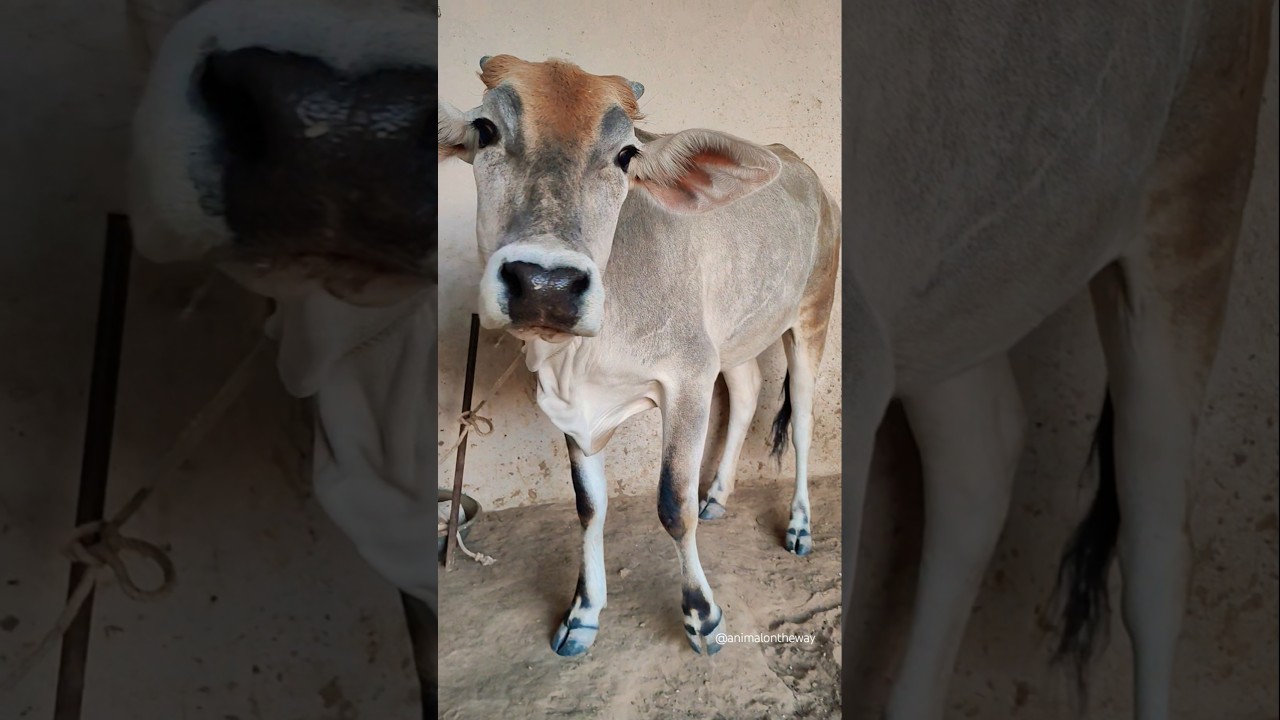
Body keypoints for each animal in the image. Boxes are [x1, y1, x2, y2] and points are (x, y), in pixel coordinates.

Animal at [437, 54, 841, 657]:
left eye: (626, 155)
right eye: (485, 129)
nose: (546, 285)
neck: (577, 359)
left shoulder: (689, 378)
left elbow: (672, 505)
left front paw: (702, 617)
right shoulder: (577, 407)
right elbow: (588, 506)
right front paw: (582, 614)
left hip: (811, 318)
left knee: (802, 425)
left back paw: (798, 527)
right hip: (734, 337)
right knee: (746, 395)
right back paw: (718, 497)